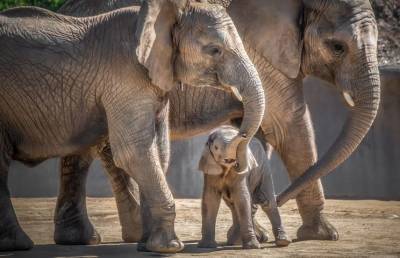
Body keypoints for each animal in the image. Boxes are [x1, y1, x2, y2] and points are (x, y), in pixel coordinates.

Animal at [0, 0, 268, 252]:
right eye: (215, 50)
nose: (238, 130)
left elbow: (158, 151)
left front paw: (146, 245)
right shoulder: (126, 77)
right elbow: (134, 151)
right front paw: (169, 247)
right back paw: (18, 244)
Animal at [57, 0, 382, 246]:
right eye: (338, 47)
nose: (272, 200)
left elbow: (255, 133)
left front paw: (250, 234)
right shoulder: (264, 57)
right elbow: (290, 124)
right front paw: (322, 235)